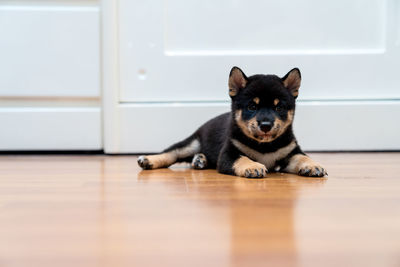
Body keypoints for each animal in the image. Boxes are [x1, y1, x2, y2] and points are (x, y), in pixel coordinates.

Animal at [139, 67, 326, 179]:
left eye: (279, 107)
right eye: (252, 106)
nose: (266, 125)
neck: (265, 146)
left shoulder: (290, 152)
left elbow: (303, 157)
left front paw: (313, 165)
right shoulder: (228, 154)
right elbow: (242, 158)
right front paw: (252, 167)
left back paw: (200, 160)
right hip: (191, 144)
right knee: (171, 153)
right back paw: (148, 160)